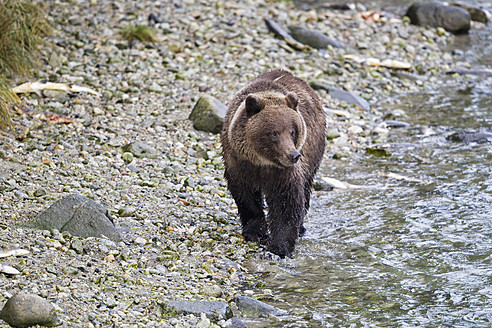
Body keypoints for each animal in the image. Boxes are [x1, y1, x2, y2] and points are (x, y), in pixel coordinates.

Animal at [221, 70, 324, 258]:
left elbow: (287, 203)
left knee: (306, 189)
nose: (293, 155)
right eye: (274, 133)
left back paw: (301, 228)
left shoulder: (283, 173)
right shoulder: (238, 163)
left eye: (292, 131)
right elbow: (245, 196)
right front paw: (256, 232)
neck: (261, 161)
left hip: (314, 152)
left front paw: (280, 247)